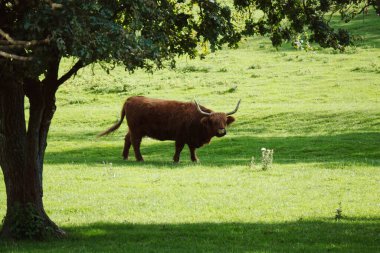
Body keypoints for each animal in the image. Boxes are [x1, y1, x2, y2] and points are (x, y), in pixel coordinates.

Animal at [98, 96, 240, 163]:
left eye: (224, 121)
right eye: (213, 122)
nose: (221, 131)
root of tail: (131, 98)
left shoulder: (191, 138)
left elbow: (192, 149)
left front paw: (195, 160)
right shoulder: (181, 136)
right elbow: (179, 148)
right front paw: (176, 160)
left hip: (133, 129)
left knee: (127, 139)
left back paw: (125, 157)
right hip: (136, 130)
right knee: (135, 142)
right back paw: (140, 159)